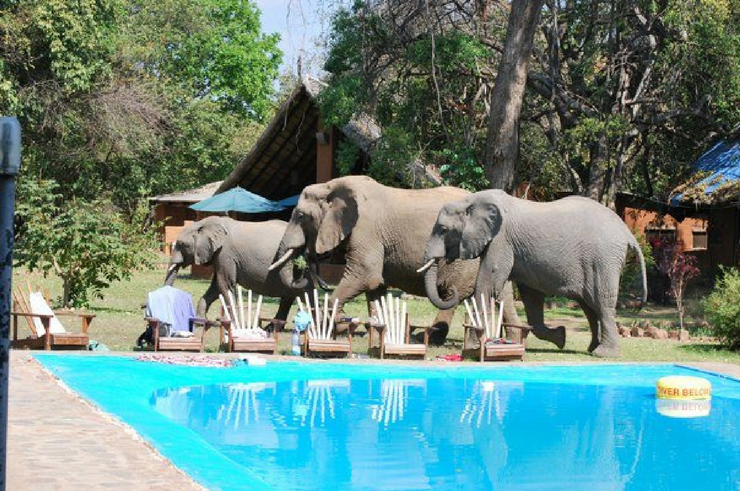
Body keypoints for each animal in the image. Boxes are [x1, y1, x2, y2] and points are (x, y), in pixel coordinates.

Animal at [163, 217, 310, 320]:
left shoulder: (225, 254)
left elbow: (225, 285)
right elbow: (216, 287)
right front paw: (200, 320)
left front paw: (235, 324)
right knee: (289, 295)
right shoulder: (220, 256)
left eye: (181, 244)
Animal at [268, 177, 520, 346]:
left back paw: (428, 337)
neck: (331, 186)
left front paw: (336, 326)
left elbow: (365, 275)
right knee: (502, 293)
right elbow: (375, 287)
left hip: (465, 257)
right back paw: (512, 339)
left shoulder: (366, 229)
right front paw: (375, 330)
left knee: (452, 293)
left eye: (300, 216)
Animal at [422, 189, 648, 358]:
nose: (449, 289)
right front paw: (561, 337)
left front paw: (473, 347)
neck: (470, 201)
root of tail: (627, 232)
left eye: (443, 229)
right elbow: (531, 297)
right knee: (590, 306)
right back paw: (591, 348)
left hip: (603, 260)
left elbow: (488, 285)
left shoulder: (501, 240)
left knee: (602, 303)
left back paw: (604, 354)